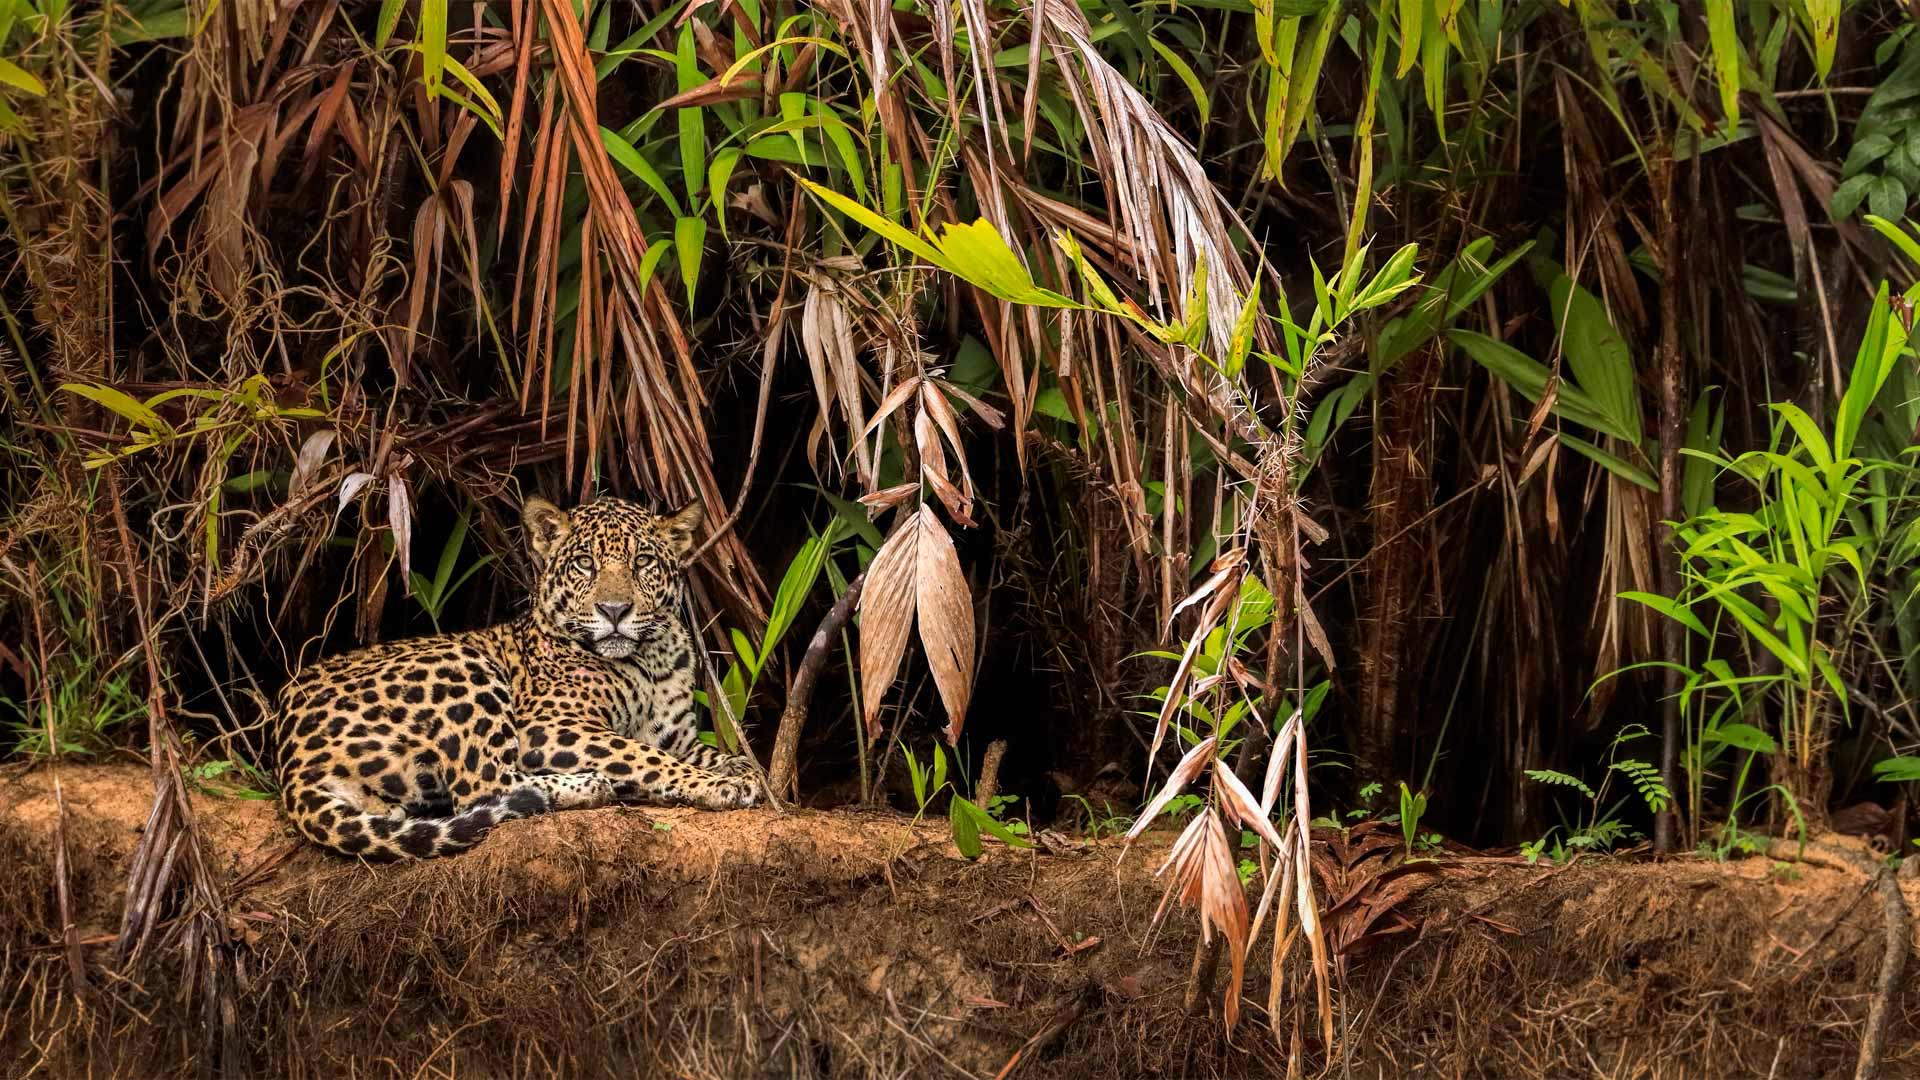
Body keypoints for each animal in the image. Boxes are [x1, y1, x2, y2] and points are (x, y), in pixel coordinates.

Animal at [268, 495, 763, 860]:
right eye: (585, 564)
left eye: (643, 562)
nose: (615, 611)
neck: (652, 660)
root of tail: (288, 761)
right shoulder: (548, 725)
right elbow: (641, 754)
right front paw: (717, 786)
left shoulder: (679, 738)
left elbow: (711, 752)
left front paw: (742, 770)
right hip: (461, 665)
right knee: (483, 788)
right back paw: (587, 785)